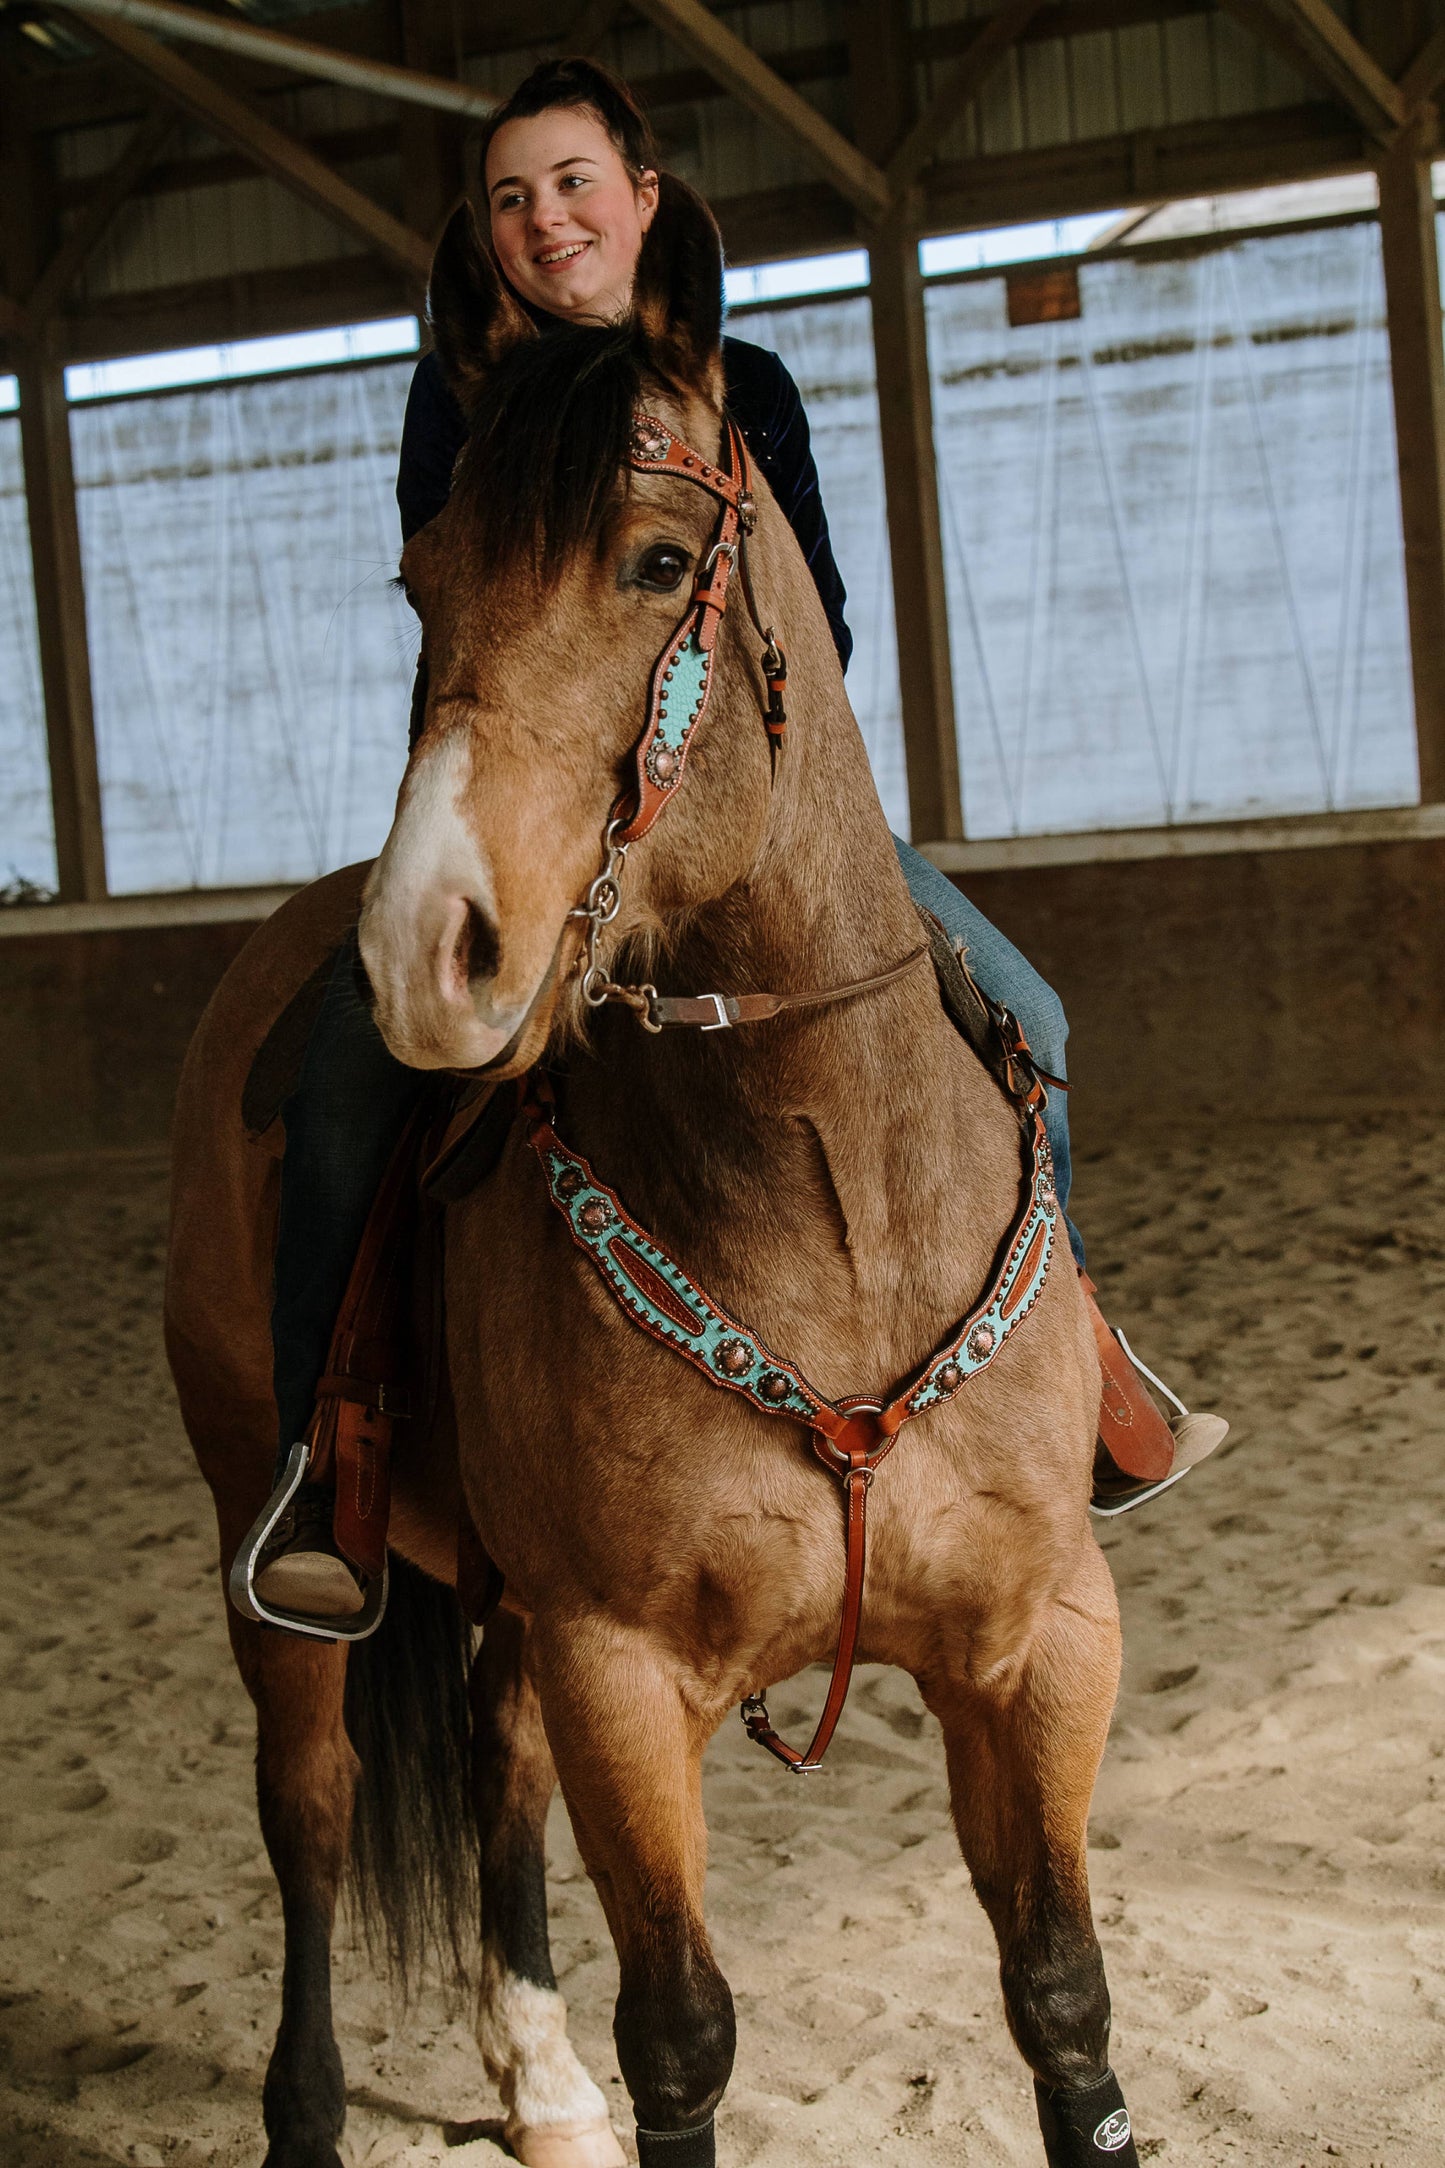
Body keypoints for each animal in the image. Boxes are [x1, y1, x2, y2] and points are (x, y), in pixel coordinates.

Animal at [166, 182, 1143, 2168]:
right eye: (420, 582)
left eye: (657, 556)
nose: (427, 951)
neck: (829, 1209)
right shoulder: (624, 1669)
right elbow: (687, 2033)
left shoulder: (1036, 1645)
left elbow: (1063, 2003)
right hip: (271, 1522)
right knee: (312, 1802)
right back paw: (310, 2109)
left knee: (492, 1768)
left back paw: (541, 2085)